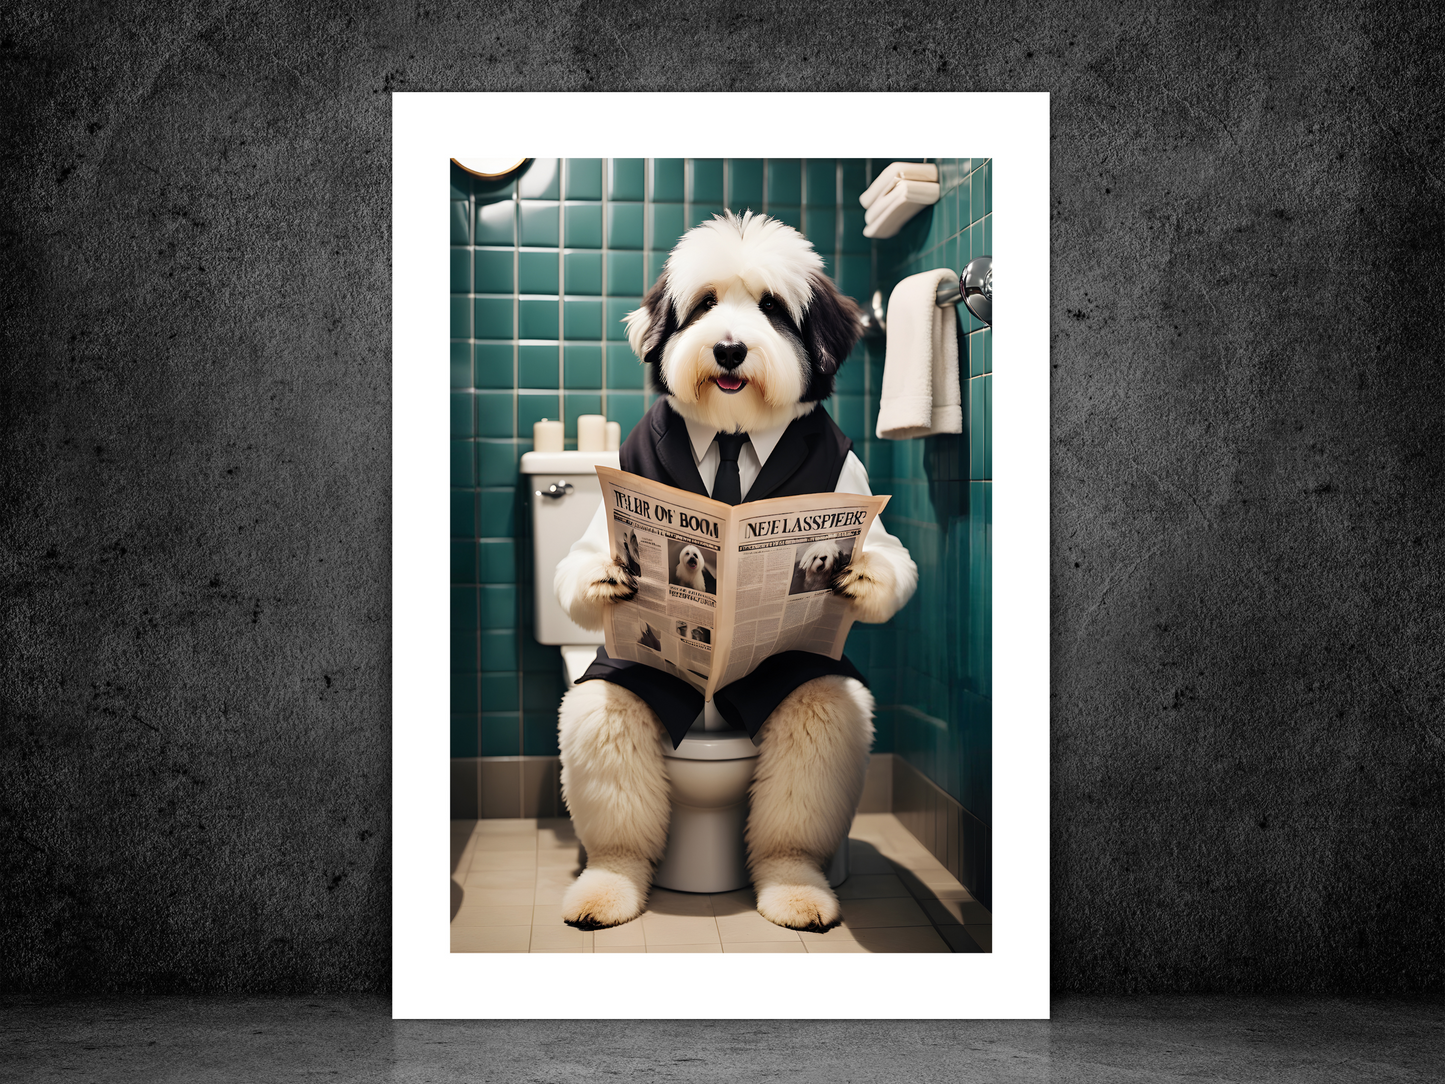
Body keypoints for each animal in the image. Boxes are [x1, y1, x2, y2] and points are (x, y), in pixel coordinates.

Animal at [551, 212, 913, 936]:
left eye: (772, 308)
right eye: (705, 304)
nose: (727, 350)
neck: (730, 432)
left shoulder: (851, 481)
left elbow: (894, 554)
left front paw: (864, 575)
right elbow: (579, 558)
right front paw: (607, 572)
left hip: (798, 692)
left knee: (813, 739)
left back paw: (795, 888)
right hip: (627, 691)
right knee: (608, 730)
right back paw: (607, 887)